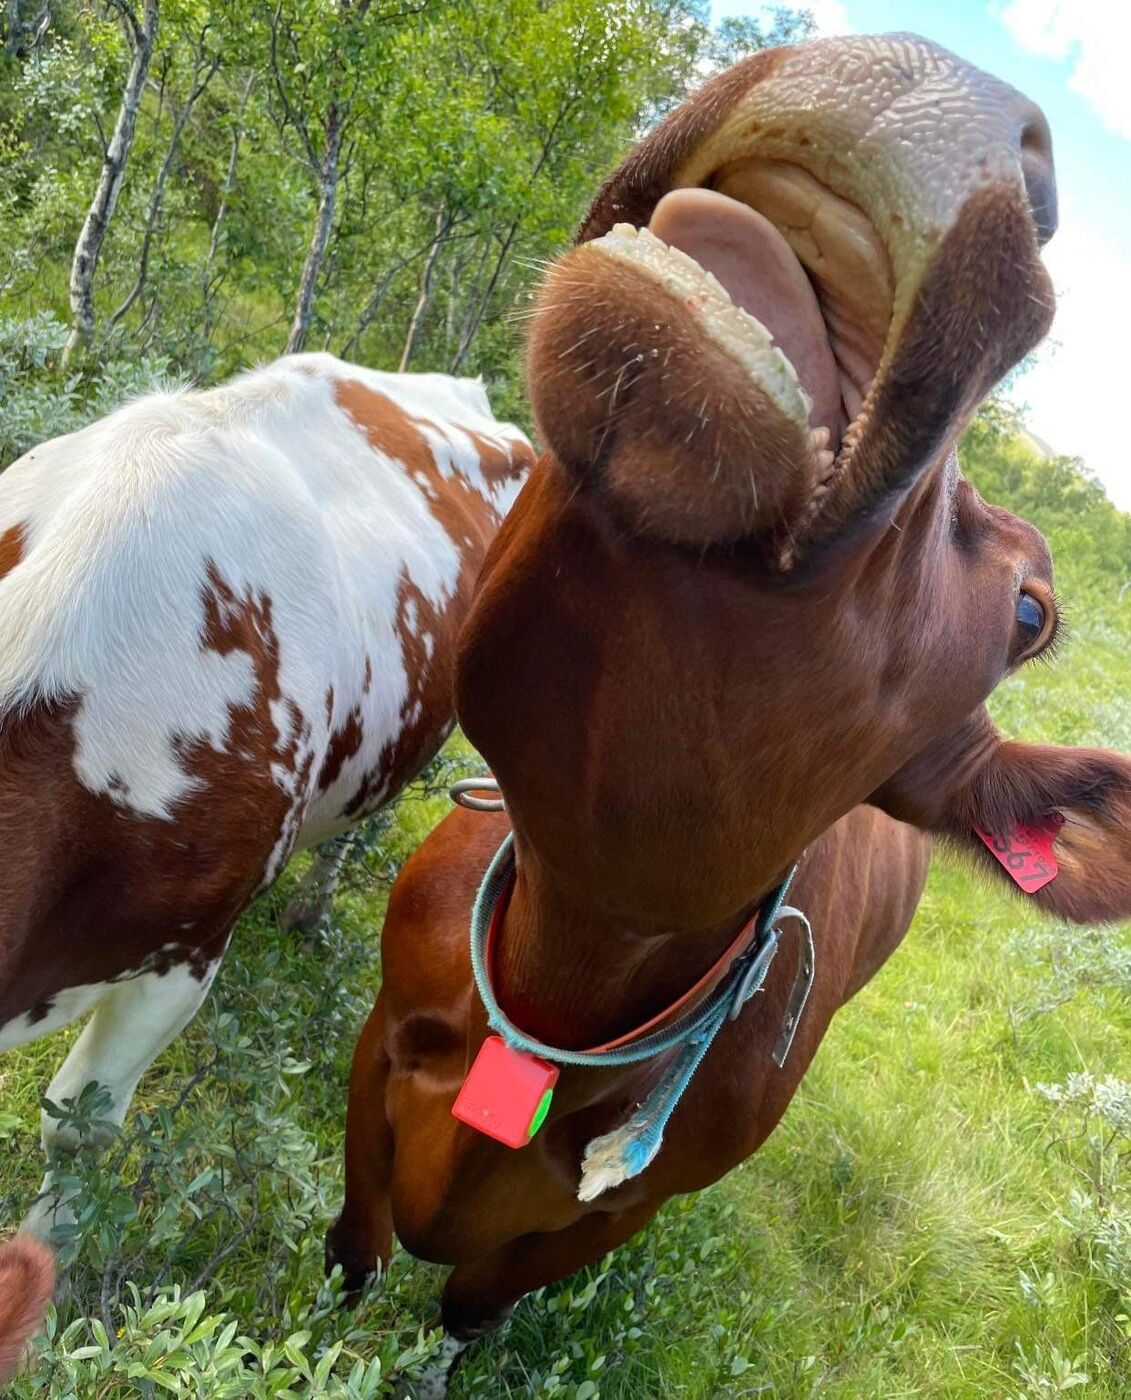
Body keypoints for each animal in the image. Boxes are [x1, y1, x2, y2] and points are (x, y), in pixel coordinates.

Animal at [324, 33, 1131, 1390]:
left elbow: (467, 1309)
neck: (559, 974)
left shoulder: (608, 1215)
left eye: (1031, 613)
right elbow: (350, 1256)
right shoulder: (378, 1042)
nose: (965, 85)